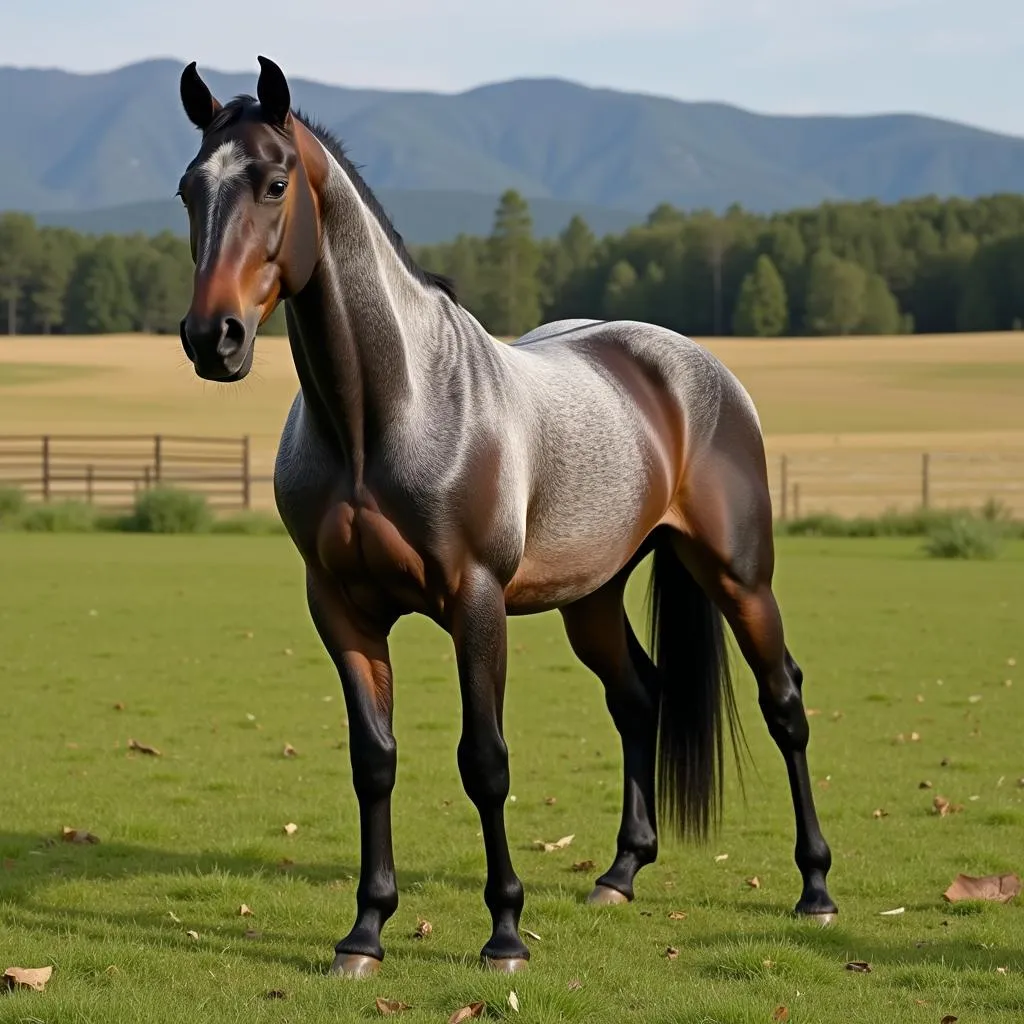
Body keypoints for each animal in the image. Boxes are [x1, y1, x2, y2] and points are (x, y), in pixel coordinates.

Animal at [174, 56, 831, 974]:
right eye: (189, 190)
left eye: (274, 183)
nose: (214, 338)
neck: (385, 414)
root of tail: (694, 369)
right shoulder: (340, 608)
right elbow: (373, 761)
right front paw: (365, 932)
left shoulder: (475, 603)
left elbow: (484, 762)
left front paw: (506, 934)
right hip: (592, 597)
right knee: (639, 696)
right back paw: (620, 874)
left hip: (740, 578)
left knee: (785, 705)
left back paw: (815, 888)